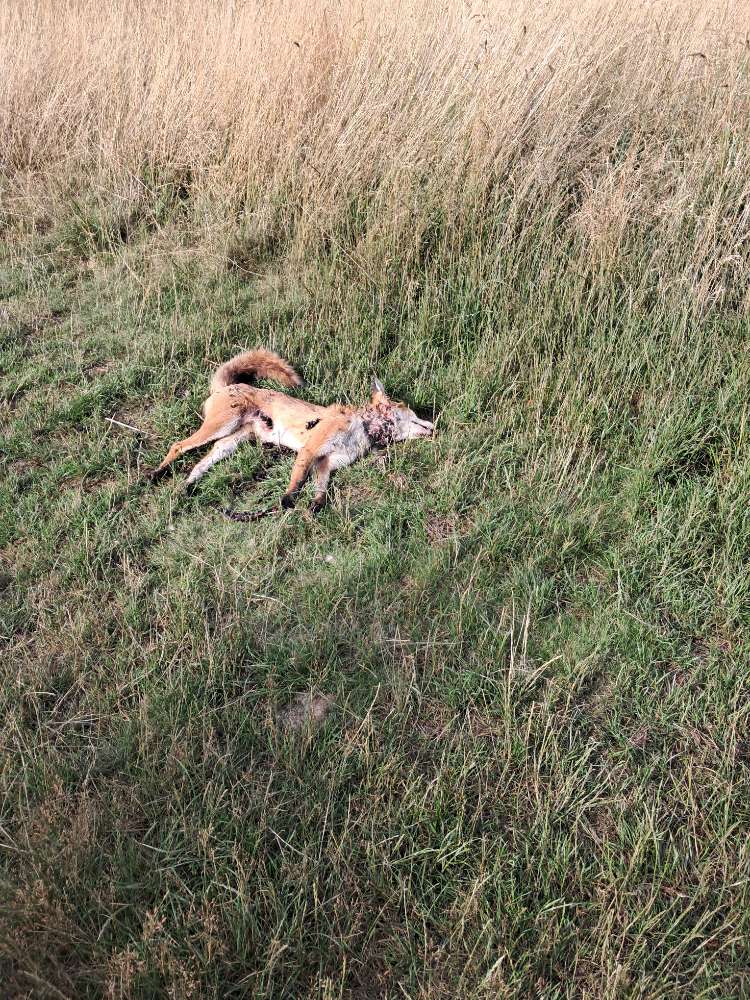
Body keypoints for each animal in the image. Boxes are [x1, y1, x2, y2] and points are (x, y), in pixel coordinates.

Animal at [145, 348, 434, 519]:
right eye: (413, 414)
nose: (434, 426)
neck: (361, 428)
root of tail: (228, 386)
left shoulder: (327, 462)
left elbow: (321, 491)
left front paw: (314, 506)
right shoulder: (311, 449)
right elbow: (295, 483)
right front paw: (285, 501)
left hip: (234, 441)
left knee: (203, 460)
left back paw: (187, 486)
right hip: (221, 427)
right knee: (178, 445)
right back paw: (157, 474)